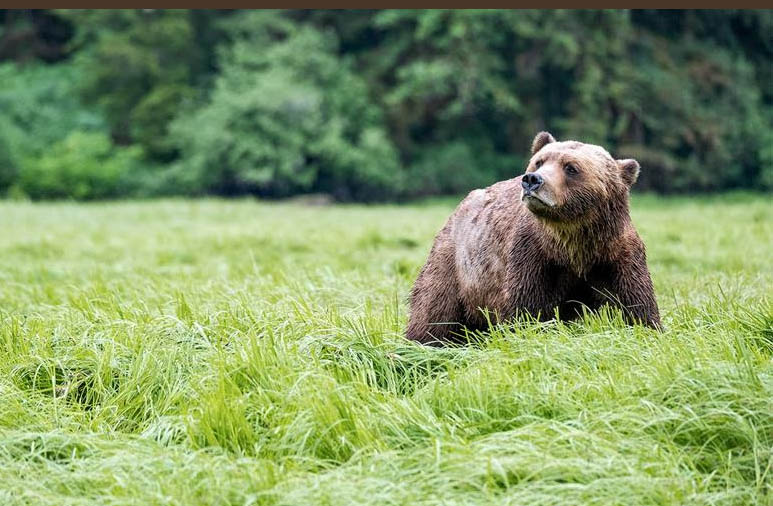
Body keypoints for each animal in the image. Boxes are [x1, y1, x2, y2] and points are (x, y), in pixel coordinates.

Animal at [406, 131, 660, 345]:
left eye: (571, 167)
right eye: (539, 161)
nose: (532, 179)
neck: (574, 241)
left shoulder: (616, 255)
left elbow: (635, 305)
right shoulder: (534, 254)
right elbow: (526, 310)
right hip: (456, 265)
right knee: (434, 312)